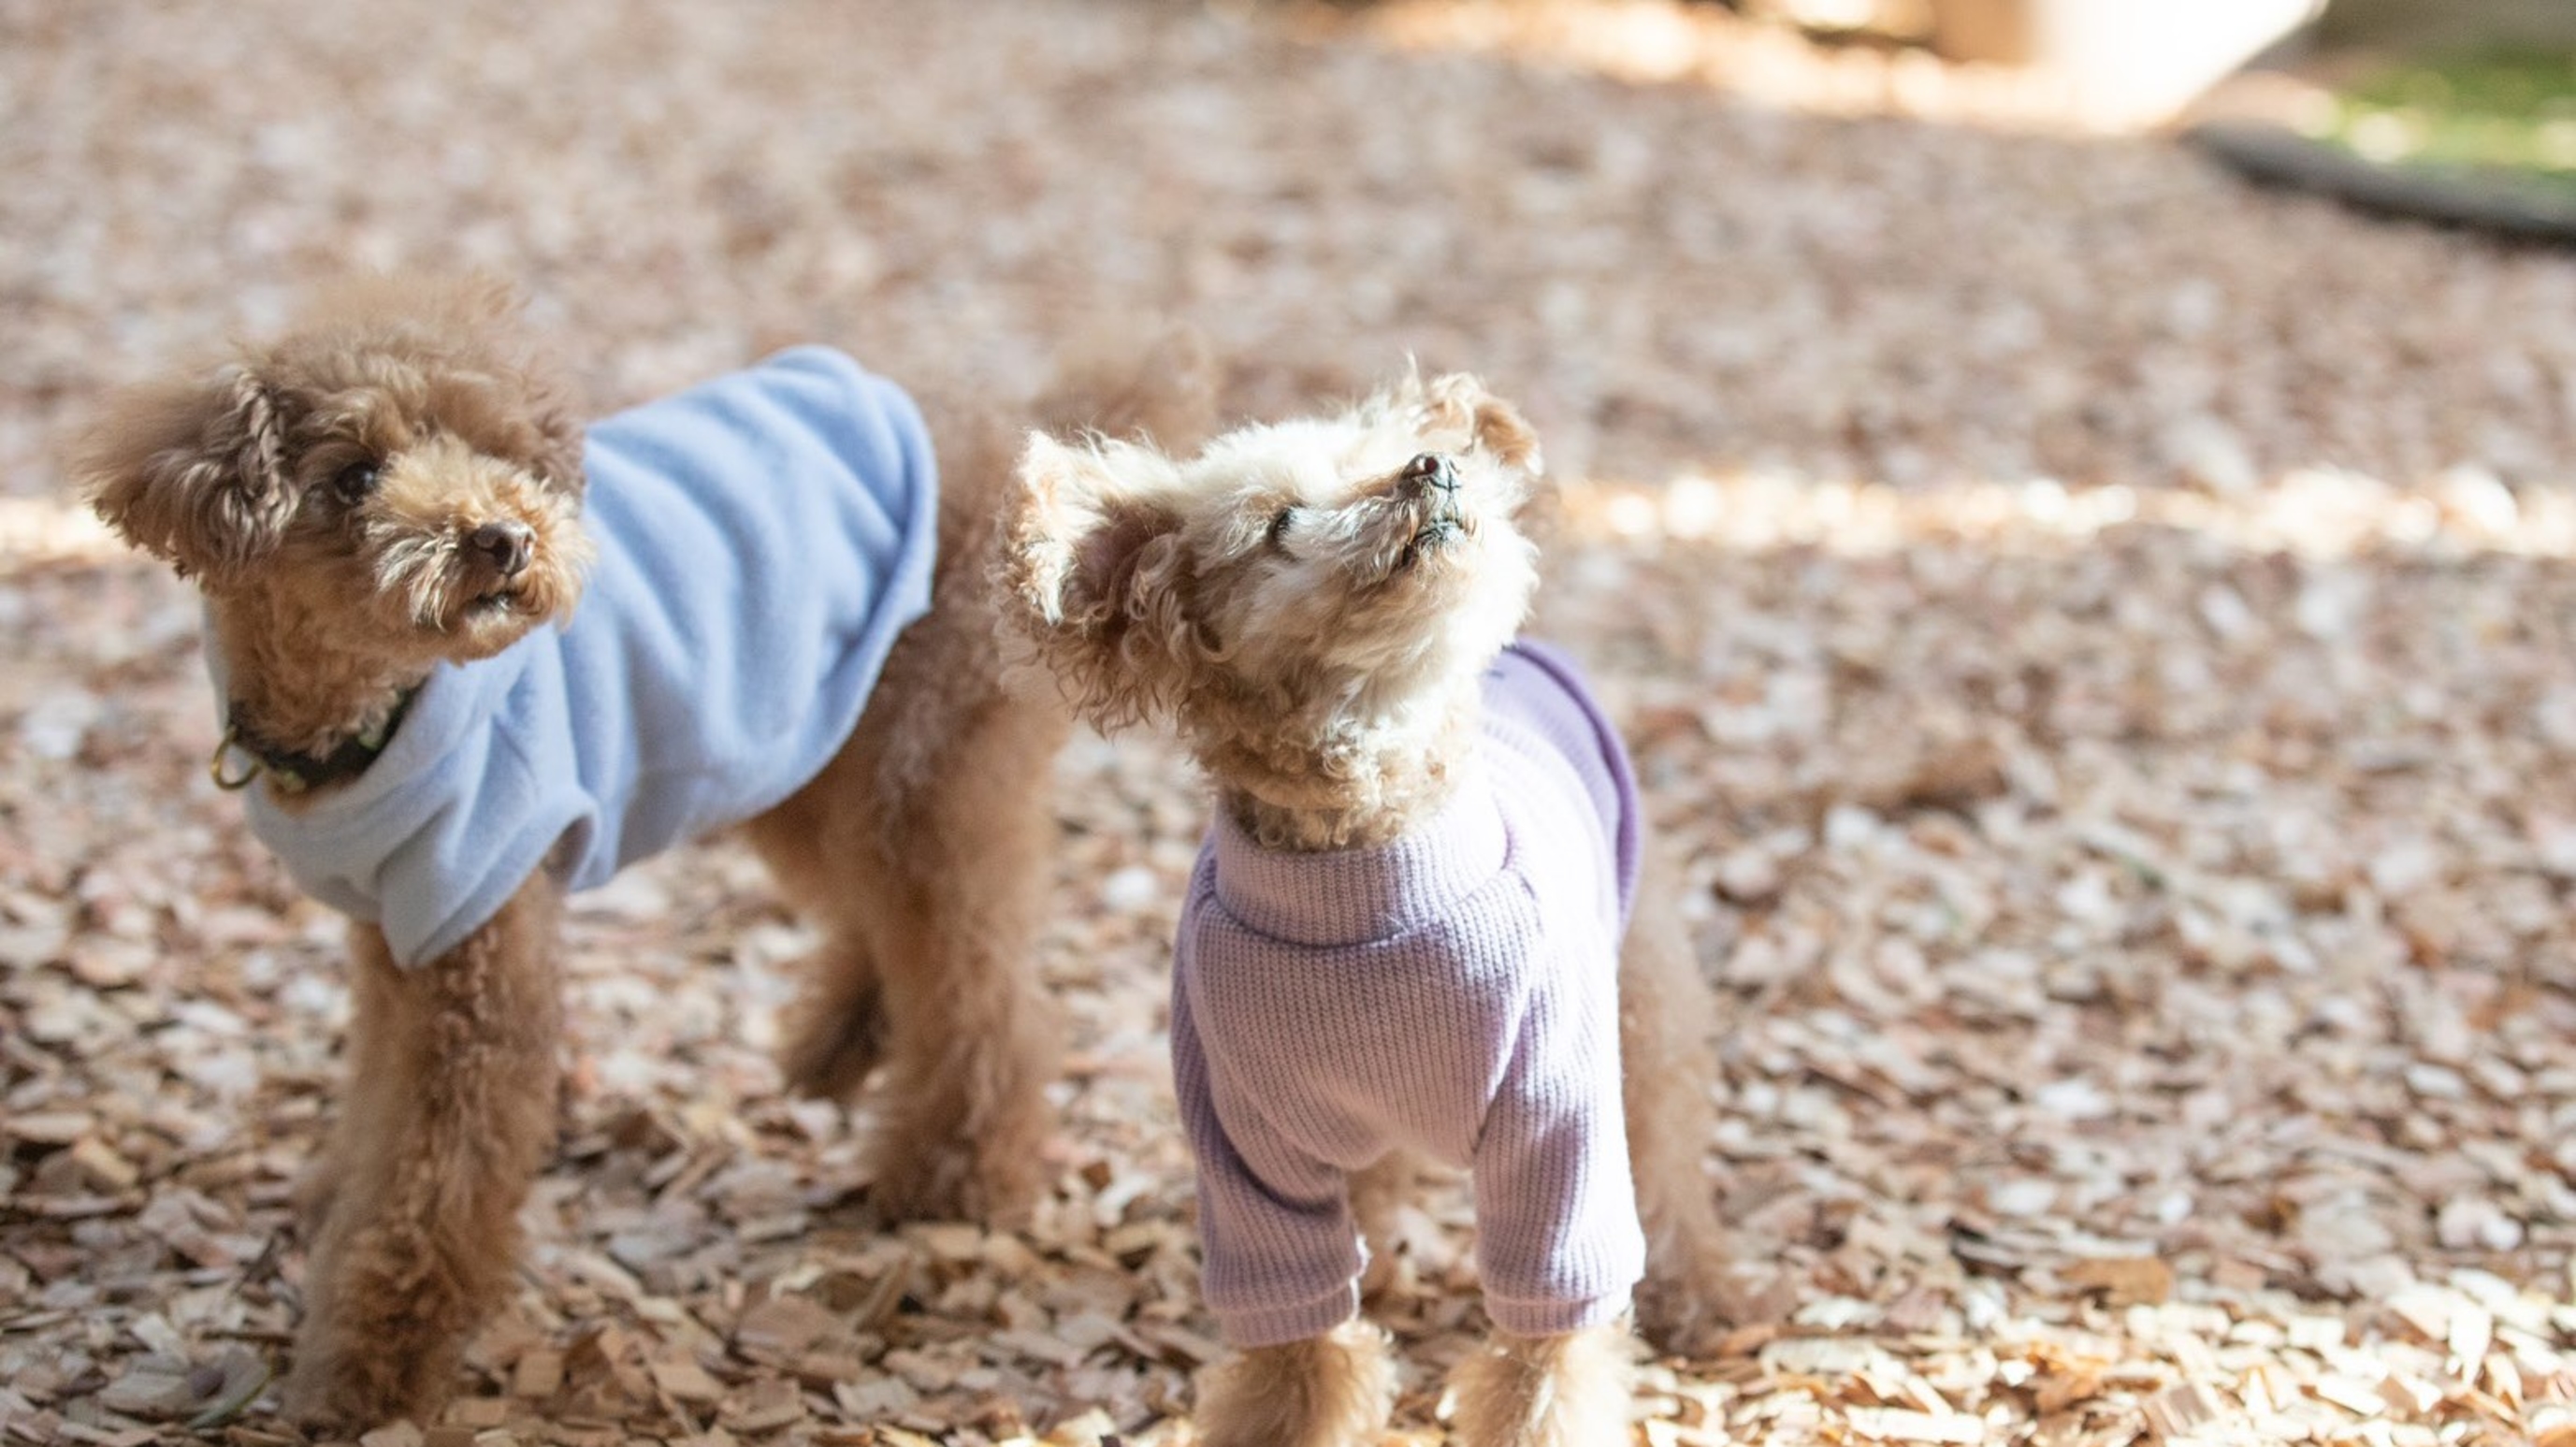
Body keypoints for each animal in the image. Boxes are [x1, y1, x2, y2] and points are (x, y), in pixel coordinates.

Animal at [70, 275, 1210, 1421]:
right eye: (351, 476)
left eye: (492, 449)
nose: (500, 538)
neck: (368, 718)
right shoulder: (393, 935)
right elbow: (374, 1103)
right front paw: (331, 1204)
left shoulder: (475, 944)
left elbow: (430, 1185)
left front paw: (365, 1375)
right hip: (808, 752)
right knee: (896, 928)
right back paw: (841, 1045)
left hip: (916, 764)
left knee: (978, 987)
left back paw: (951, 1175)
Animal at [999, 370, 1730, 1441]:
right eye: (1279, 521)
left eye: (1387, 458)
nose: (1431, 465)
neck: (1366, 888)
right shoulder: (1245, 1141)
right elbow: (1298, 1345)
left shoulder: (1557, 1117)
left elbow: (1549, 1346)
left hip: (1643, 1001)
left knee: (1670, 1152)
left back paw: (1707, 1294)